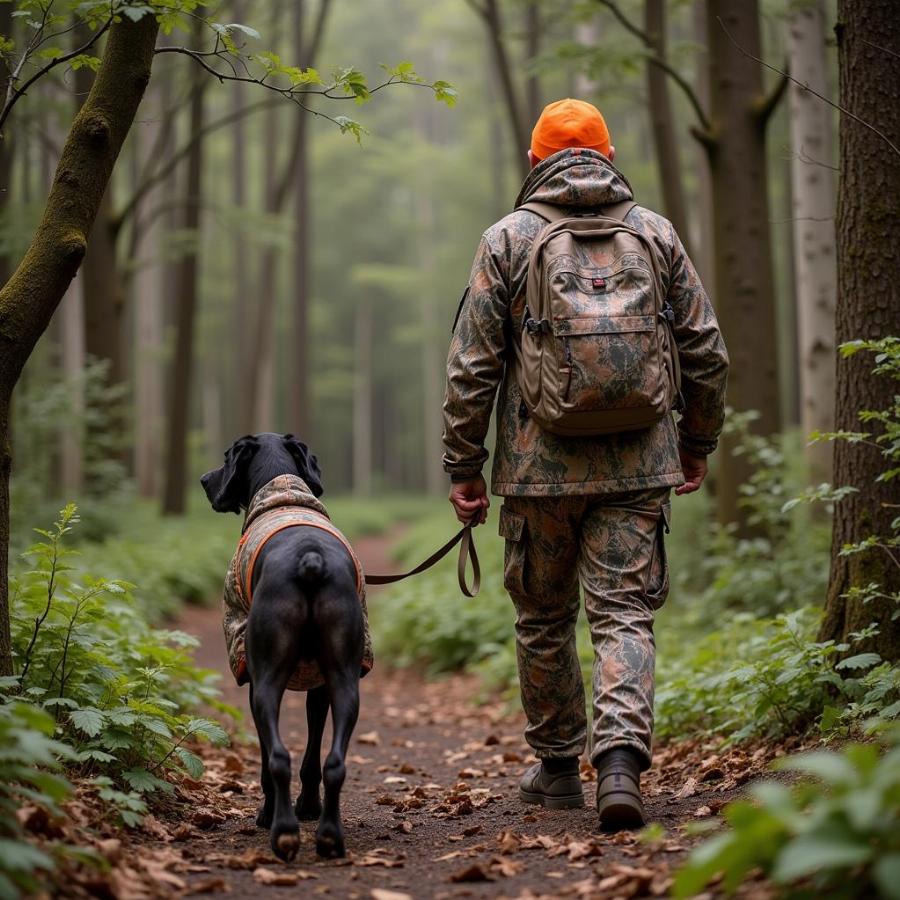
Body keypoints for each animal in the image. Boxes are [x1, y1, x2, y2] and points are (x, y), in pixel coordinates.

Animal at [200, 432, 362, 860]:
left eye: (227, 456)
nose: (204, 479)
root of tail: (310, 558)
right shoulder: (320, 685)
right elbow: (313, 755)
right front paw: (309, 808)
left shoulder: (253, 677)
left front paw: (269, 813)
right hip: (346, 681)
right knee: (333, 762)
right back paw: (329, 835)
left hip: (267, 682)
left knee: (277, 758)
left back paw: (283, 830)